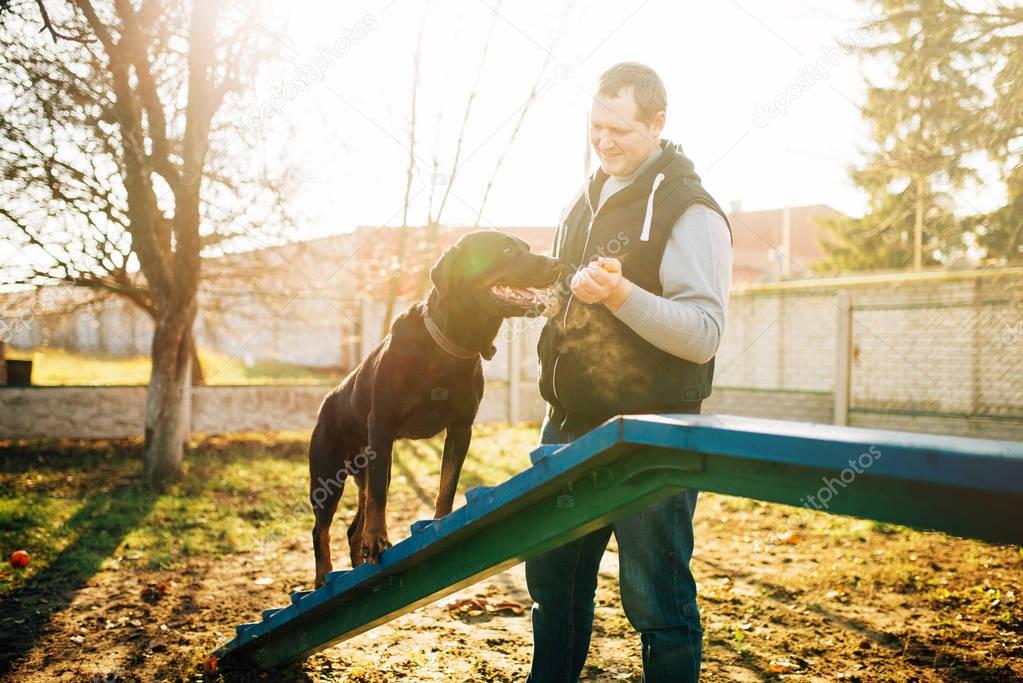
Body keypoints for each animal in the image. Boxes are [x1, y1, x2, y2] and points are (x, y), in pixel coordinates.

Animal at [306, 231, 560, 588]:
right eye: (508, 250)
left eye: (527, 248)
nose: (557, 263)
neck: (449, 347)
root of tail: (327, 401)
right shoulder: (382, 427)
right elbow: (379, 501)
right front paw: (378, 539)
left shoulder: (461, 427)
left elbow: (447, 483)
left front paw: (442, 523)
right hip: (329, 473)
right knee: (322, 528)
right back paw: (323, 578)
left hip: (371, 467)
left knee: (352, 527)